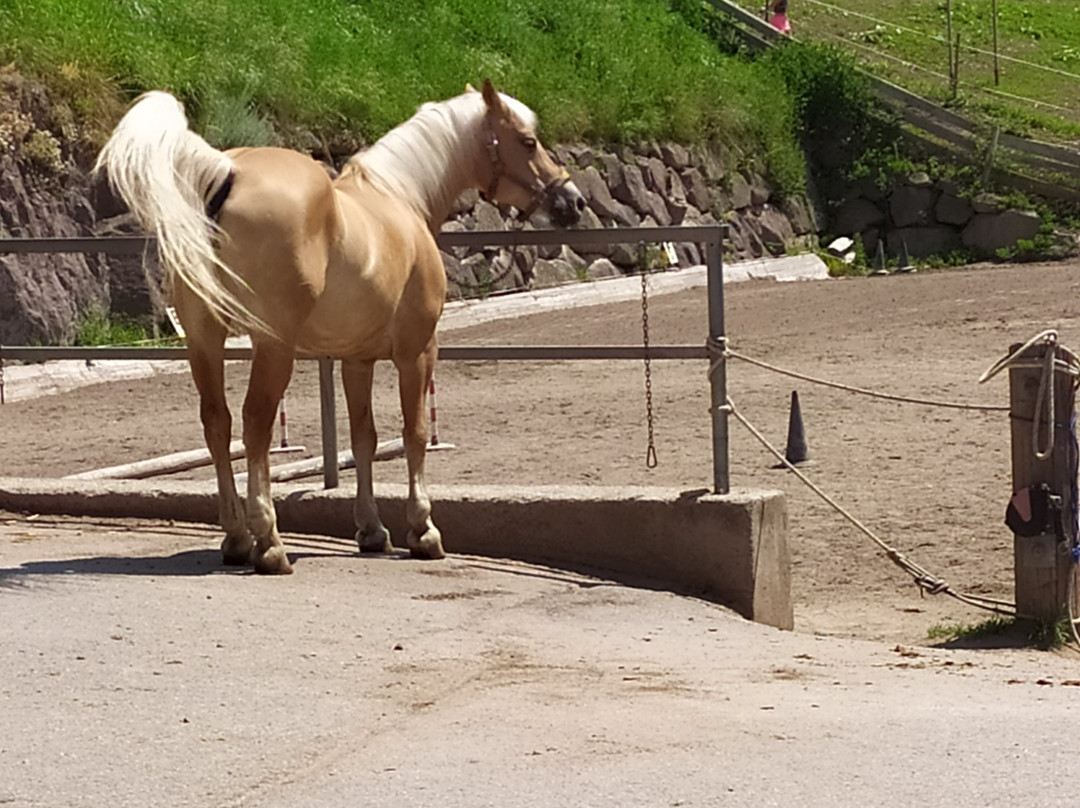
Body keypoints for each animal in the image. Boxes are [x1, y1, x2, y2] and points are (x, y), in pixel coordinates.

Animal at [95, 79, 586, 574]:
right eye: (527, 140)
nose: (573, 201)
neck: (399, 197)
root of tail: (226, 172)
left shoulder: (356, 361)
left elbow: (364, 438)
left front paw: (372, 530)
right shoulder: (418, 352)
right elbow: (414, 434)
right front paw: (423, 531)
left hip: (204, 341)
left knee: (218, 423)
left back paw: (235, 538)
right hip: (273, 347)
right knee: (256, 424)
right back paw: (268, 543)